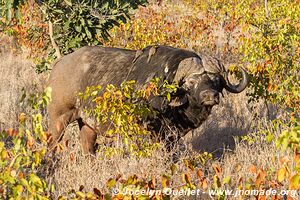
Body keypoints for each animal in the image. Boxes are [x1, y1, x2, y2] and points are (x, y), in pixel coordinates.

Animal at [47, 45, 248, 154]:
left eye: (216, 80)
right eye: (191, 81)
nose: (209, 96)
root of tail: (59, 65)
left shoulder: (171, 137)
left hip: (87, 124)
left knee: (87, 147)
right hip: (58, 119)